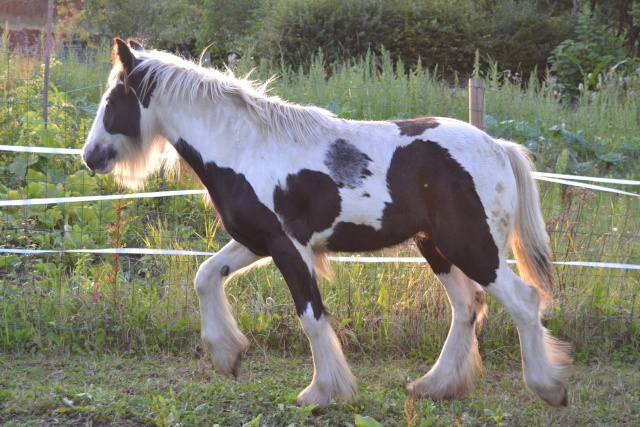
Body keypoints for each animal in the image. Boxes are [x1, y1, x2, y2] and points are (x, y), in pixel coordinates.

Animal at [82, 39, 572, 408]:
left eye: (112, 100)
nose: (91, 156)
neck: (244, 148)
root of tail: (499, 146)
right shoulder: (256, 242)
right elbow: (205, 277)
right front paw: (228, 356)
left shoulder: (288, 247)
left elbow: (312, 316)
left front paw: (323, 393)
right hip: (437, 248)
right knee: (468, 306)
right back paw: (435, 386)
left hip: (472, 246)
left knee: (524, 301)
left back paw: (549, 389)